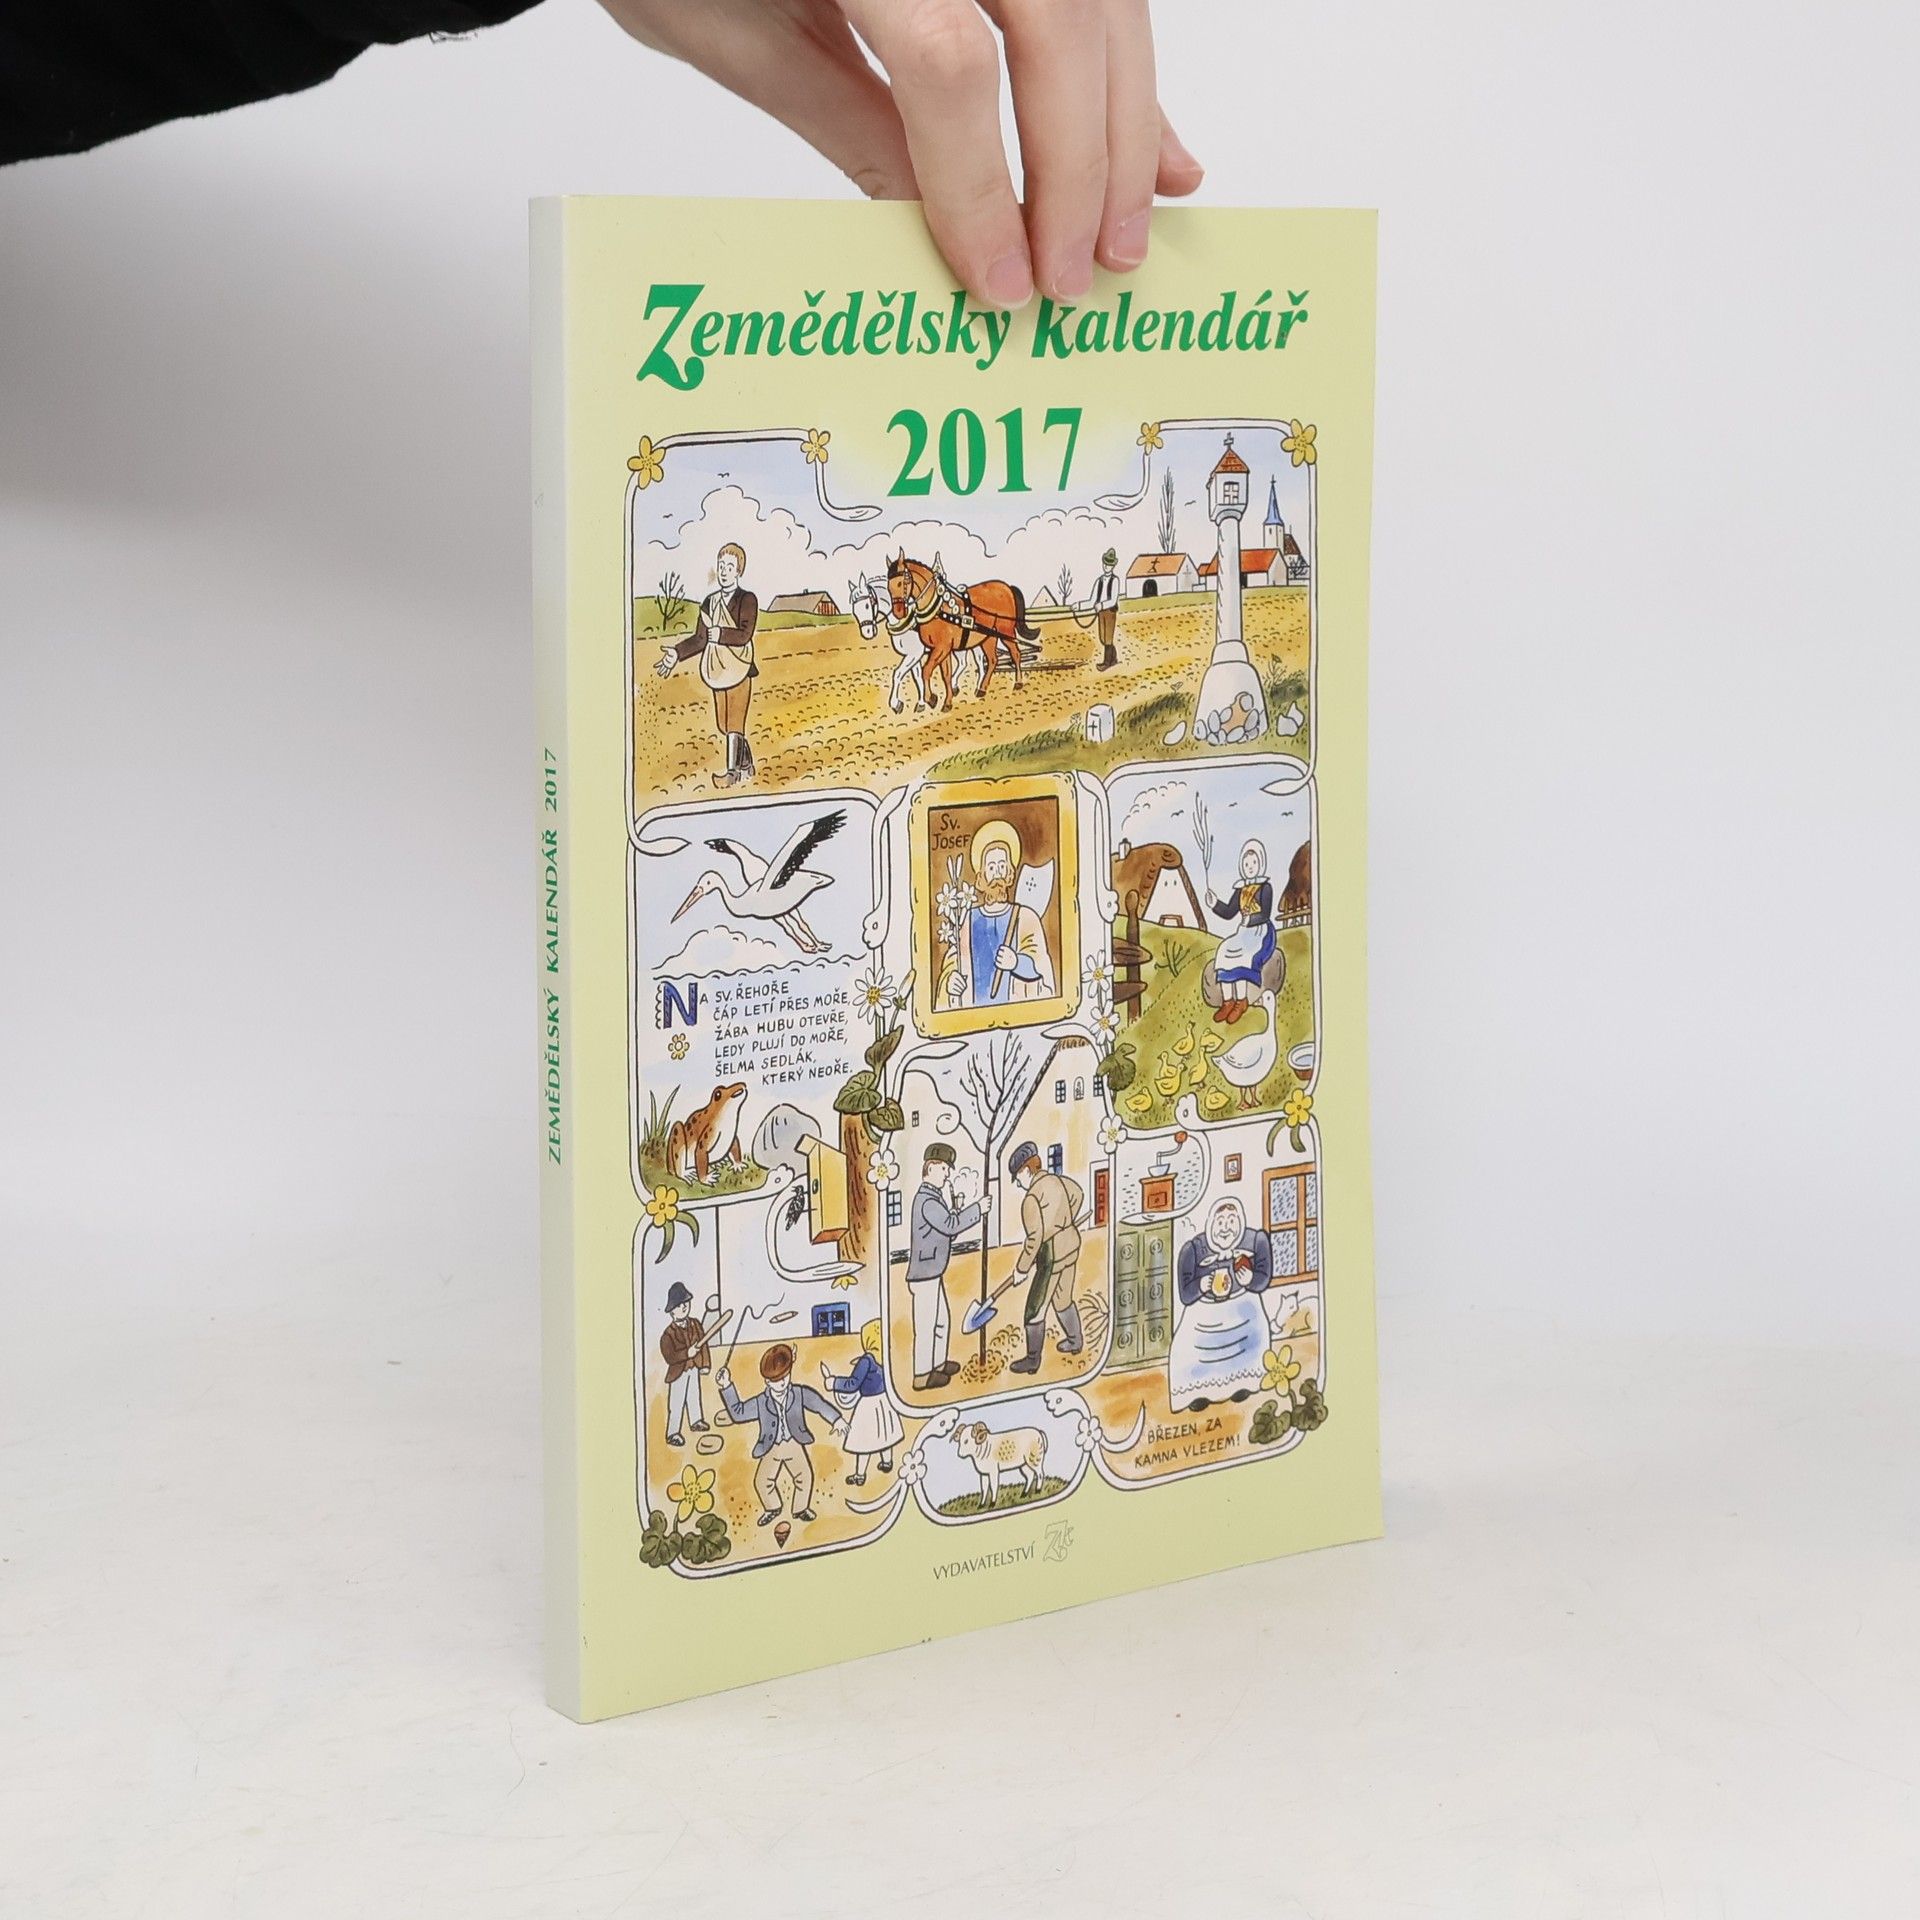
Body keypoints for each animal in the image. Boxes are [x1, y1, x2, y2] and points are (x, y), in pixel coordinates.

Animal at [881, 552, 1040, 710]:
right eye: (889, 586)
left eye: (902, 582)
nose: (898, 612)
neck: (939, 610)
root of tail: (1006, 587)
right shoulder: (942, 650)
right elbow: (945, 675)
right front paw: (946, 701)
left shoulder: (940, 648)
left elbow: (925, 671)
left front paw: (931, 698)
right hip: (988, 637)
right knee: (992, 660)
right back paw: (982, 689)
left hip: (1005, 631)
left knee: (1015, 653)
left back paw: (1018, 682)